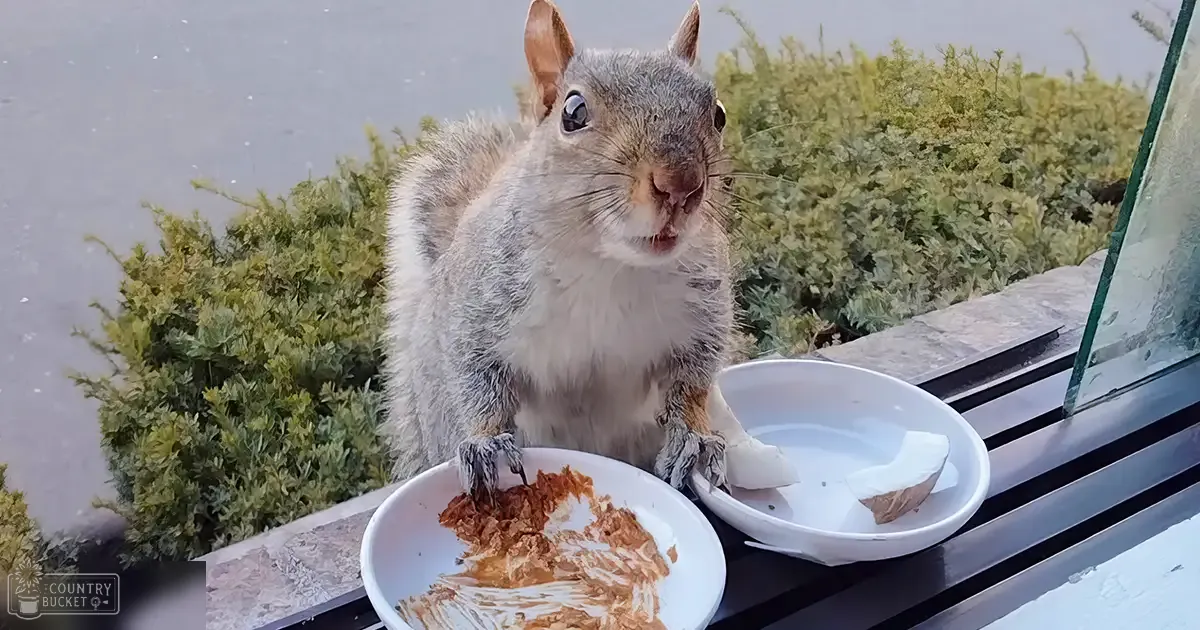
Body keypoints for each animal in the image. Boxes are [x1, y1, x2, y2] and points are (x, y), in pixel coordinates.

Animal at [381, 0, 799, 500]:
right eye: (574, 112)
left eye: (717, 114)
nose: (681, 184)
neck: (609, 265)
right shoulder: (481, 307)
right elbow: (476, 378)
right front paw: (487, 444)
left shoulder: (702, 316)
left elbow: (693, 383)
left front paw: (693, 438)